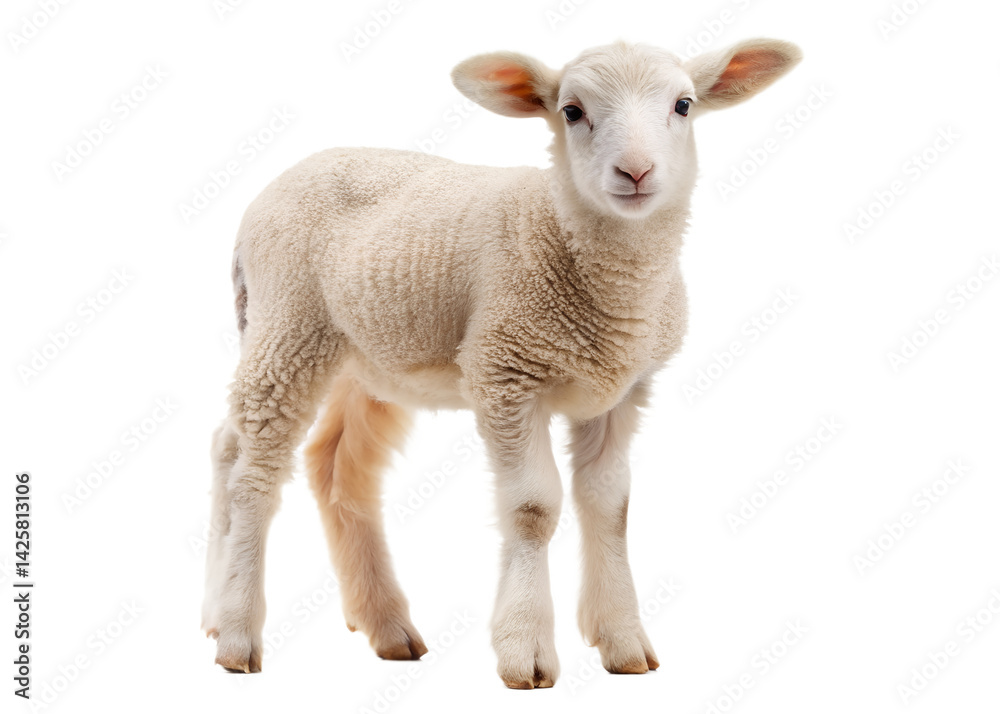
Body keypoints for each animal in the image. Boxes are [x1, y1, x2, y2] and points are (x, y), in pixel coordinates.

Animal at [201, 38, 802, 688]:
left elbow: (611, 507)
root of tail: (269, 191)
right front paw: (526, 651)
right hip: (288, 322)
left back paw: (363, 625)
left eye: (683, 105)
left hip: (363, 356)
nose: (636, 172)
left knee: (301, 460)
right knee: (254, 475)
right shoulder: (505, 372)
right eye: (571, 111)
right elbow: (533, 508)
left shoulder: (621, 391)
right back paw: (236, 634)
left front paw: (623, 642)